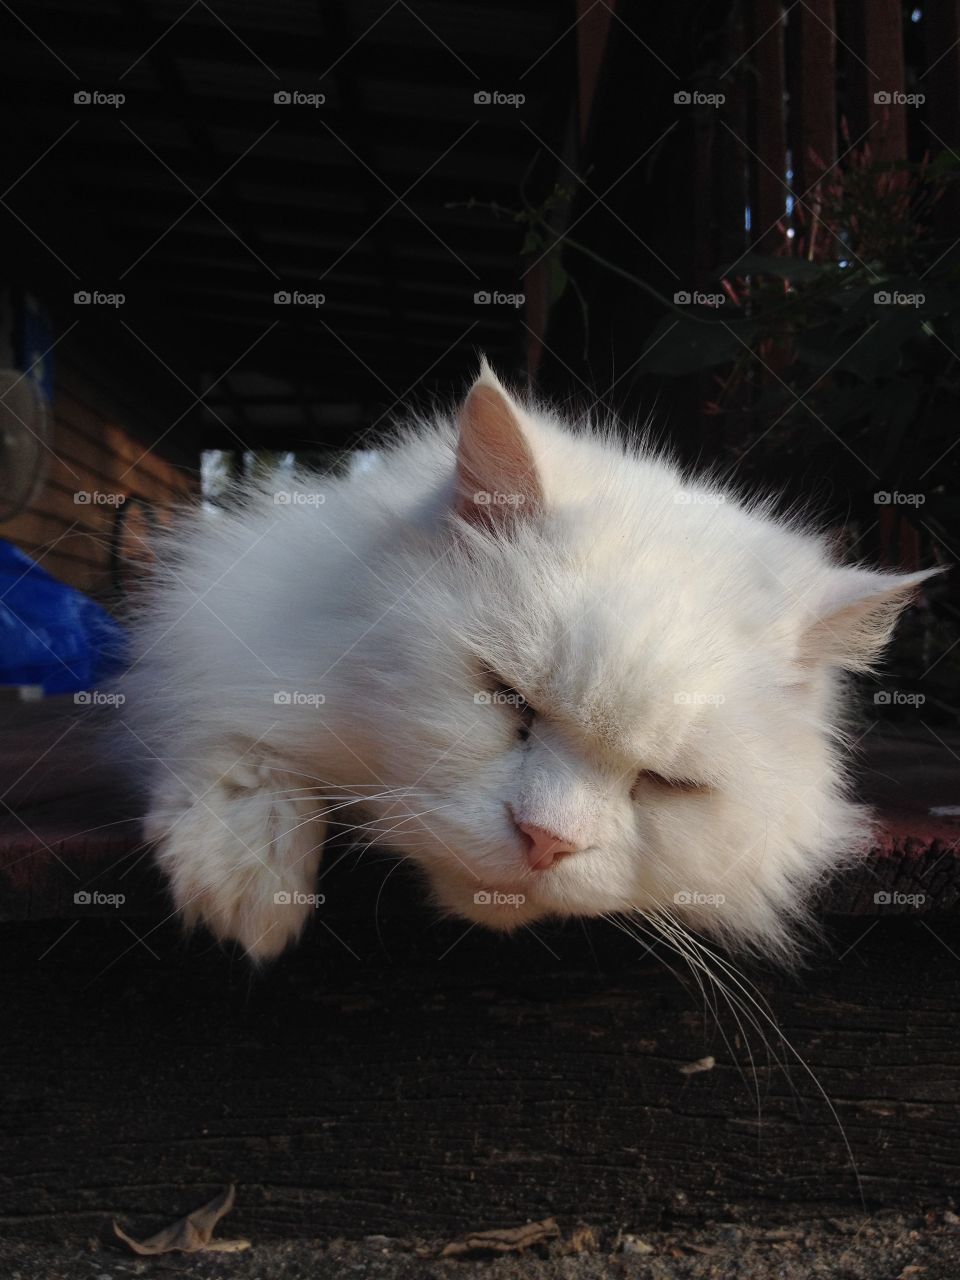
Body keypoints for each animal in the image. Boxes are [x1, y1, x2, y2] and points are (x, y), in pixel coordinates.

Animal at [124, 360, 936, 962]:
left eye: (666, 783)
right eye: (507, 696)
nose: (547, 843)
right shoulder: (224, 609)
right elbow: (233, 745)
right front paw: (248, 874)